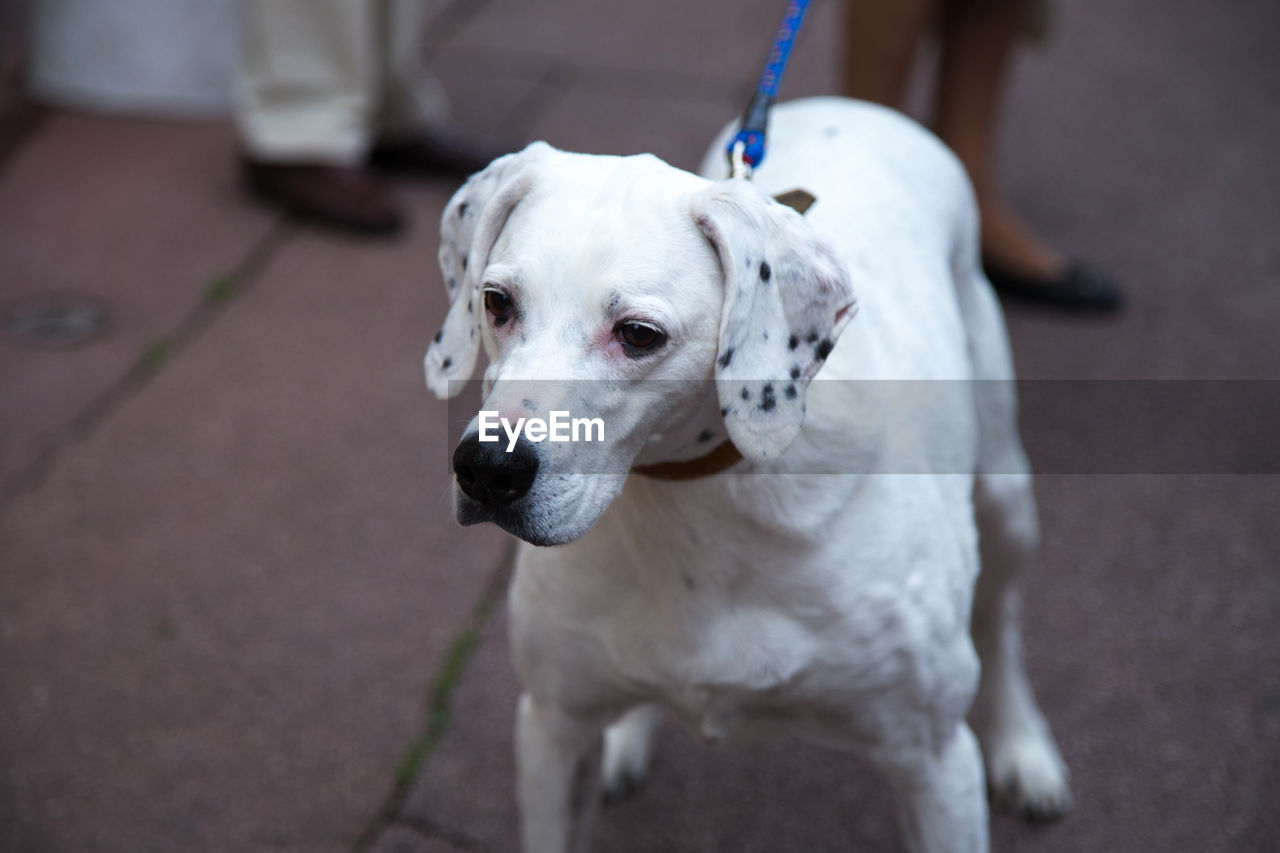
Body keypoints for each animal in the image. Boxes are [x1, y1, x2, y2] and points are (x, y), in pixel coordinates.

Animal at [419, 97, 1070, 850]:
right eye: (496, 301)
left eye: (638, 334)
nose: (486, 467)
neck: (694, 511)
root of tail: (850, 106)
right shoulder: (551, 730)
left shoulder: (936, 762)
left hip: (1005, 496)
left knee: (1001, 617)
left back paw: (1023, 744)